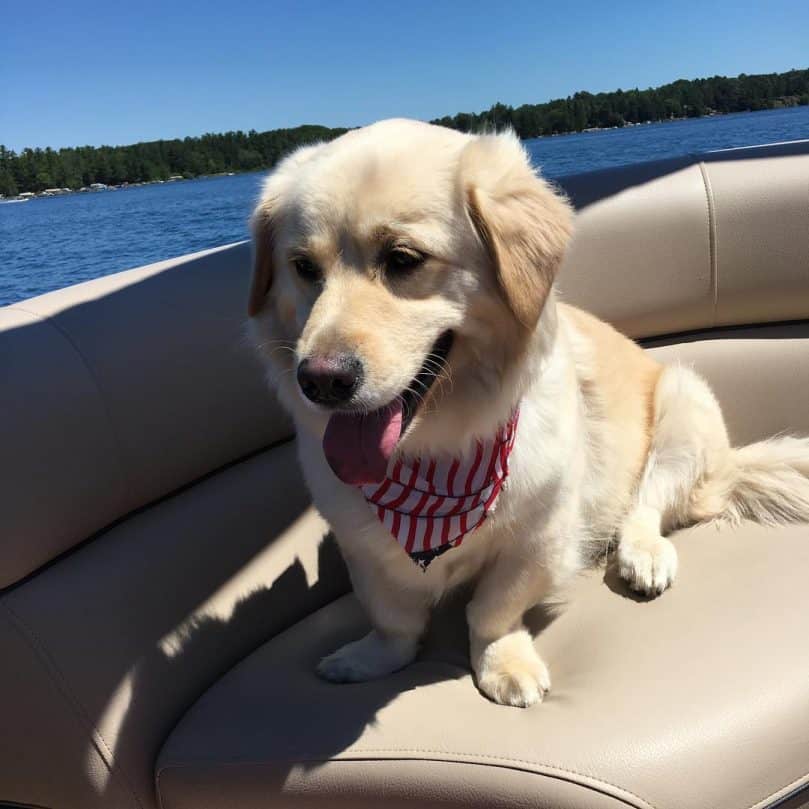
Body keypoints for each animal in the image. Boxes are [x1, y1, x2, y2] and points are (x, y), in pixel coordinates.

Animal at [246, 117, 808, 704]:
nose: (320, 380)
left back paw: (643, 555)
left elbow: (492, 610)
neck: (436, 452)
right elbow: (393, 619)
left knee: (646, 506)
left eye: (403, 259)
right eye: (303, 267)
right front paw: (370, 659)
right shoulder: (364, 549)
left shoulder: (540, 539)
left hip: (685, 405)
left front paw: (504, 664)